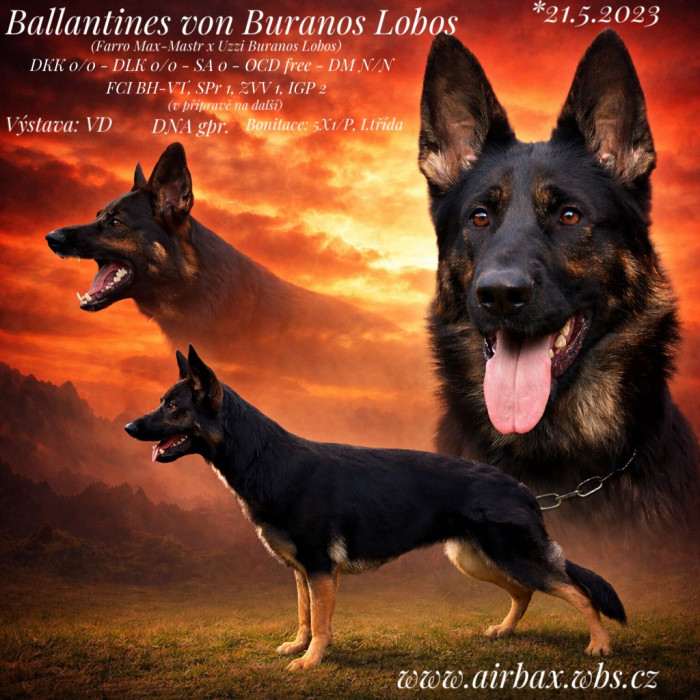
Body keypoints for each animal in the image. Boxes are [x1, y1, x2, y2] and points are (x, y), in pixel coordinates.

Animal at [125, 345, 626, 669]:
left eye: (172, 406)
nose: (129, 426)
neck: (263, 459)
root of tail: (522, 489)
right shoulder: (302, 572)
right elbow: (304, 616)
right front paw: (298, 647)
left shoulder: (320, 570)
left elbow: (321, 623)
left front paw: (311, 661)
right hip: (475, 558)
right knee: (524, 593)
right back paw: (504, 631)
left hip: (510, 556)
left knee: (576, 592)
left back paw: (599, 645)